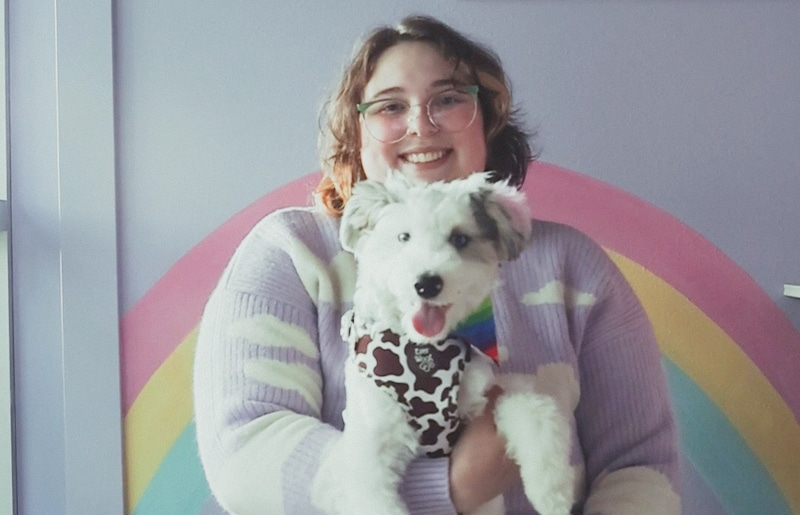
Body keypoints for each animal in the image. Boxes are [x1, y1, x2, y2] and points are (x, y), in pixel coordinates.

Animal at [312, 173, 576, 515]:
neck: (424, 350)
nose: (427, 283)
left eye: (460, 239)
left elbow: (535, 408)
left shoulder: (485, 392)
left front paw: (552, 490)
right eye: (404, 237)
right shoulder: (370, 446)